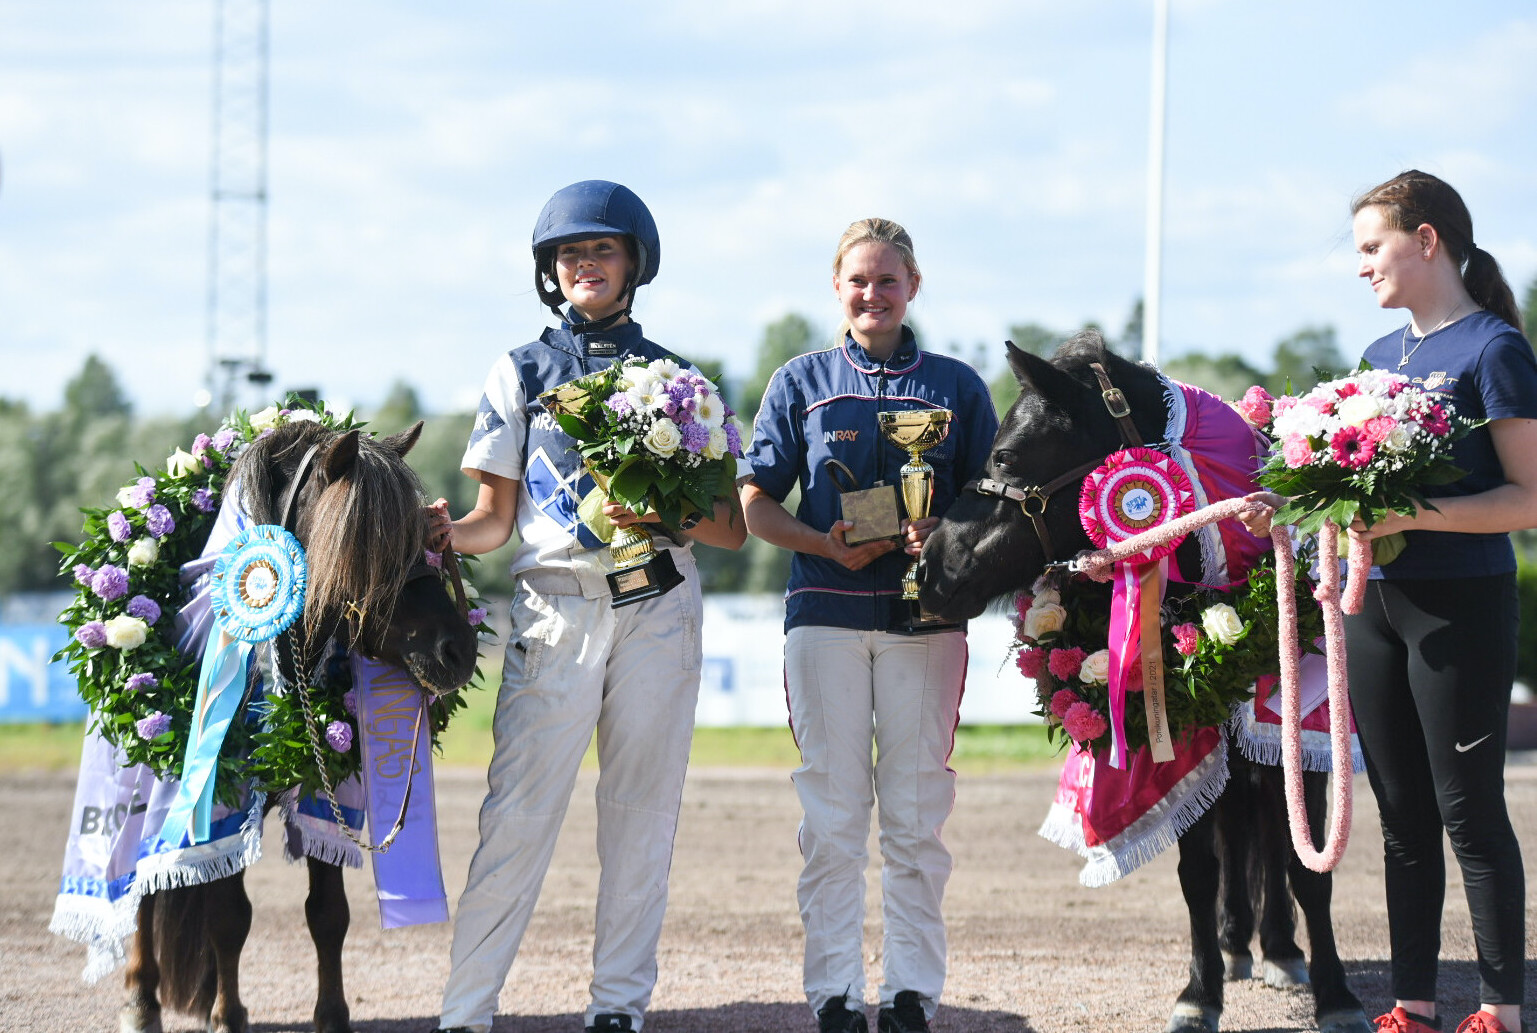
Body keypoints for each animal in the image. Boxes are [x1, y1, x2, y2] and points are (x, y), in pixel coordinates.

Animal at [121, 418, 479, 1033]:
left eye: (425, 536)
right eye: (367, 547)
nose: (457, 650)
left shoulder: (325, 787)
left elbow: (328, 914)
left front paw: (331, 1014)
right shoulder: (221, 794)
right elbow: (228, 916)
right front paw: (229, 1015)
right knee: (142, 885)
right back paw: (143, 1003)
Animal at [909, 330, 1371, 1033]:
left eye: (1007, 454)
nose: (930, 569)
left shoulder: (1303, 733)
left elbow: (1307, 866)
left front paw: (1337, 995)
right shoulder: (1180, 733)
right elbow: (1198, 869)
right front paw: (1200, 993)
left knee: (1267, 828)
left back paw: (1280, 949)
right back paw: (1240, 942)